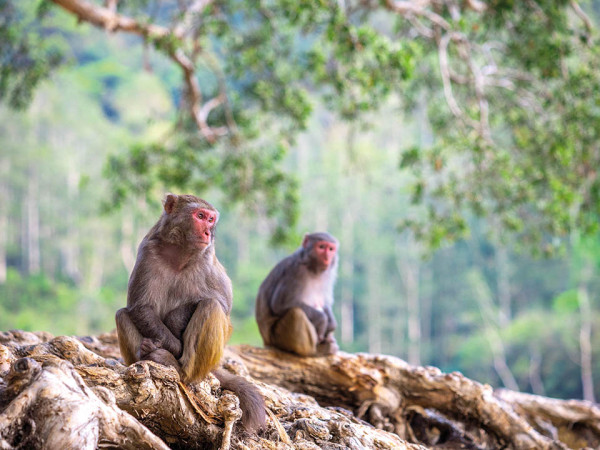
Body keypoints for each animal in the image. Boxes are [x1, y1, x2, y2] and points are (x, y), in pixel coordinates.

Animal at [116, 194, 266, 432]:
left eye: (211, 219)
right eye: (200, 216)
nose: (208, 233)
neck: (180, 251)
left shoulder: (207, 257)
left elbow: (223, 303)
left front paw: (175, 329)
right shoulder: (148, 251)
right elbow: (140, 307)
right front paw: (169, 343)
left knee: (211, 307)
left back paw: (177, 368)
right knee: (122, 314)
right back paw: (147, 356)